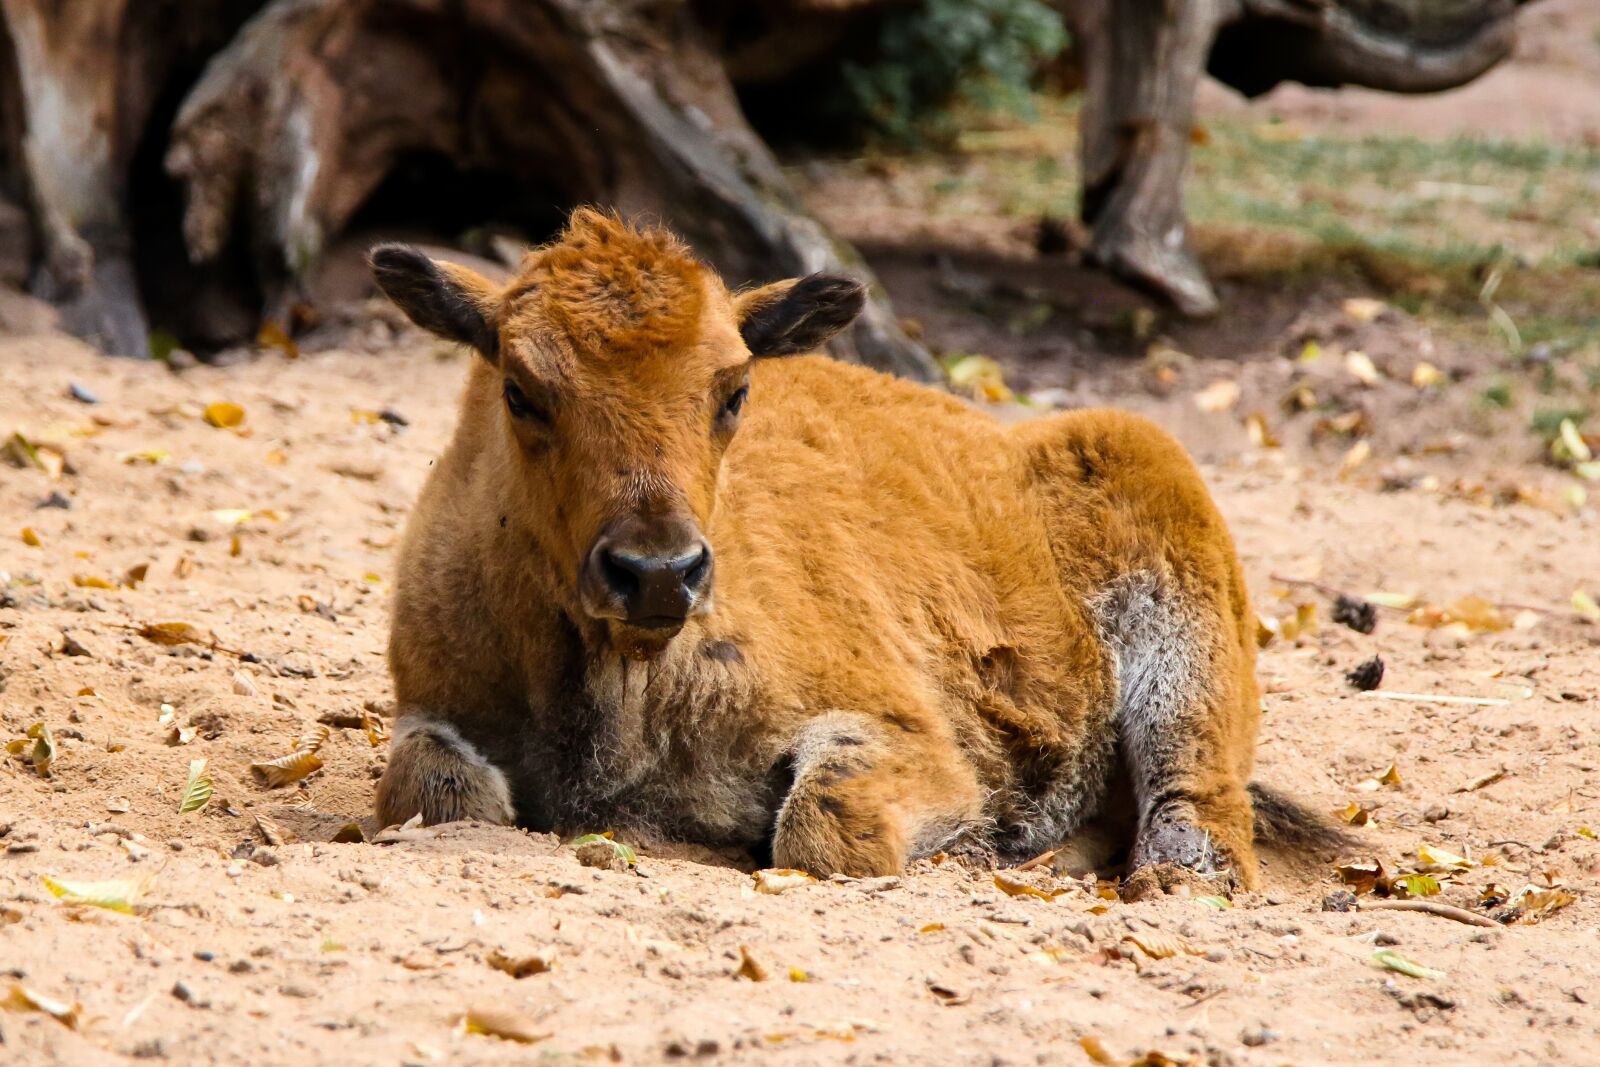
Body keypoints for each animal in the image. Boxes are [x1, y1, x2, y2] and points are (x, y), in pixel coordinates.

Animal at [371, 207, 1324, 895]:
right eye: (521, 389)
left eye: (734, 390)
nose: (657, 574)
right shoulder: (433, 709)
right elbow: (434, 790)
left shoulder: (909, 735)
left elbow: (824, 827)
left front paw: (966, 838)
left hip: (1182, 629)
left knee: (1196, 808)